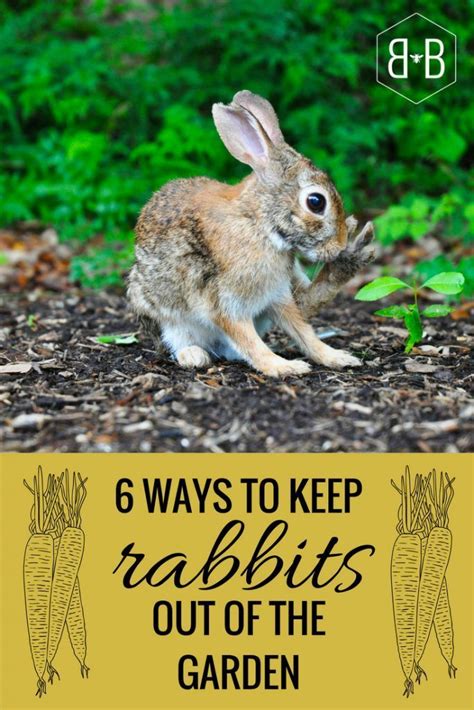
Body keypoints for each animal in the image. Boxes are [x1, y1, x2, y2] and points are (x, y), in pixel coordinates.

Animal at [128, 90, 375, 378]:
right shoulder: (225, 303)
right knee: (178, 340)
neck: (260, 224)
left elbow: (304, 332)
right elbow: (249, 341)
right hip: (163, 314)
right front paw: (283, 366)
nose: (338, 245)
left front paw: (336, 357)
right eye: (316, 202)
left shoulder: (277, 295)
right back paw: (193, 355)